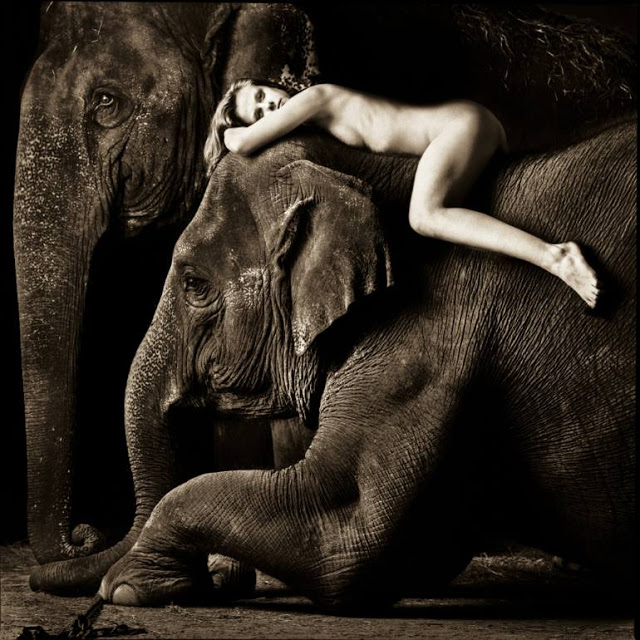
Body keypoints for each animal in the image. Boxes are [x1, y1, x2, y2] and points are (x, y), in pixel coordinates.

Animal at [14, 1, 636, 588]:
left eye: (194, 285)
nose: (84, 534)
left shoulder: (427, 345)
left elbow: (338, 526)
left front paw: (133, 585)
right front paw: (216, 574)